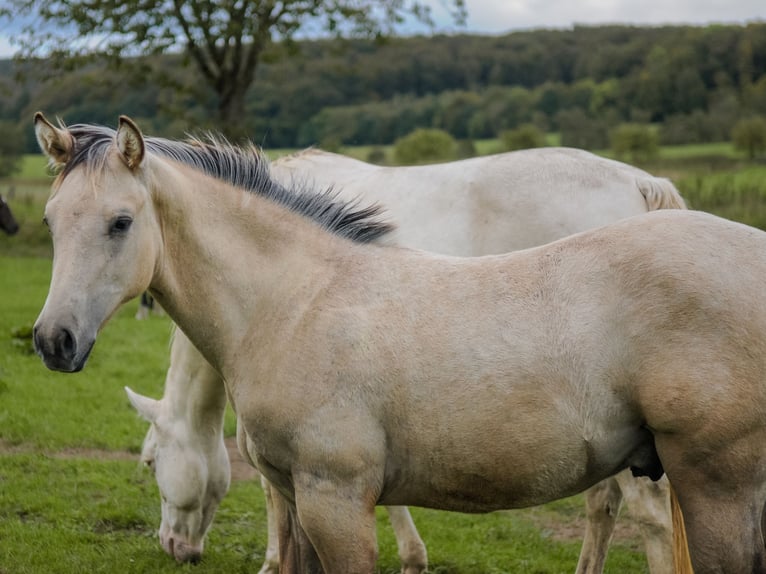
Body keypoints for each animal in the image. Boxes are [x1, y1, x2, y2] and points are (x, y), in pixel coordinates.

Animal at [34, 114, 766, 574]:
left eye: (120, 222)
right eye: (51, 220)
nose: (52, 341)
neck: (298, 299)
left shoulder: (334, 500)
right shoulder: (302, 498)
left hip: (711, 486)